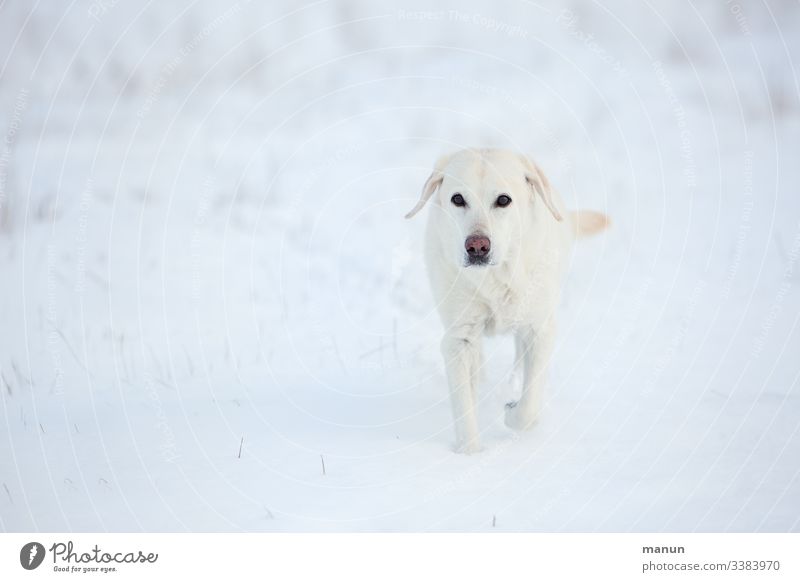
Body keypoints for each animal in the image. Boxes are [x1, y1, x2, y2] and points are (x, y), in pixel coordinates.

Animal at [406, 148, 608, 454]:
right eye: (457, 199)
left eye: (503, 200)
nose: (477, 246)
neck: (495, 278)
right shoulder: (458, 339)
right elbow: (464, 407)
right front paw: (468, 454)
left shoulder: (540, 329)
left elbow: (529, 407)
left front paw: (513, 412)